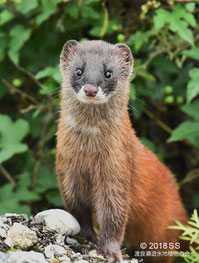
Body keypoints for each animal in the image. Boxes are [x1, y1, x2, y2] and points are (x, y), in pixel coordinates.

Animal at [56, 40, 188, 262]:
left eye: (108, 73)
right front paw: (88, 238)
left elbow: (114, 214)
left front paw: (109, 251)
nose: (90, 89)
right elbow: (78, 210)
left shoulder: (116, 168)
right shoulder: (67, 171)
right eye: (78, 71)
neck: (89, 152)